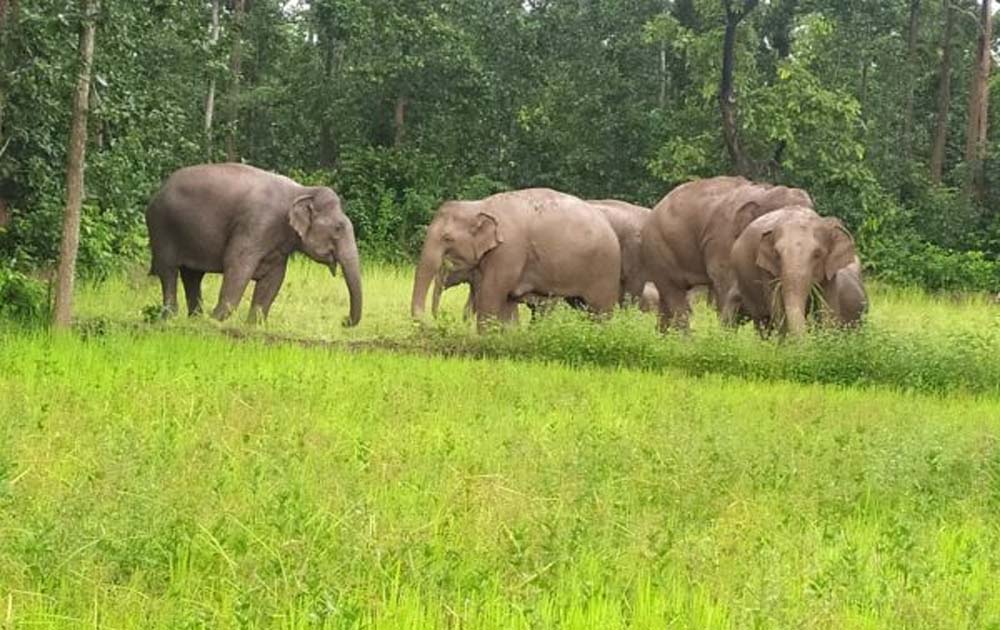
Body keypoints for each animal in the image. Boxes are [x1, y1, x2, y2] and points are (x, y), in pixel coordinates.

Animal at [145, 163, 362, 325]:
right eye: (338, 228)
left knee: (193, 275)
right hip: (161, 226)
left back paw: (195, 320)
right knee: (169, 271)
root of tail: (160, 189)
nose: (344, 320)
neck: (302, 190)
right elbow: (237, 264)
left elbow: (274, 279)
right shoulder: (256, 223)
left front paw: (253, 325)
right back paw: (170, 318)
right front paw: (215, 321)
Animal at [411, 188, 621, 330]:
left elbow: (491, 294)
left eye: (447, 238)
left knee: (600, 311)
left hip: (605, 270)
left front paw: (484, 339)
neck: (479, 205)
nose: (435, 322)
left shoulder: (509, 250)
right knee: (584, 308)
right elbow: (505, 301)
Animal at [731, 206, 866, 335]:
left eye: (817, 254)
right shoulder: (766, 270)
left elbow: (828, 306)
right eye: (777, 254)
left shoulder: (830, 270)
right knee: (762, 320)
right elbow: (778, 309)